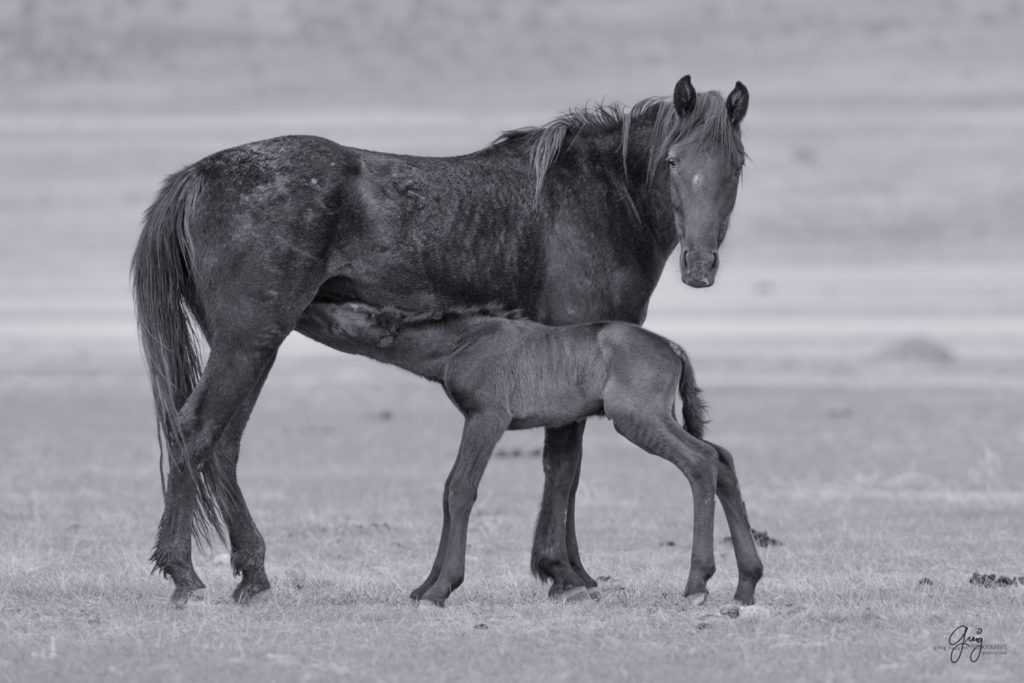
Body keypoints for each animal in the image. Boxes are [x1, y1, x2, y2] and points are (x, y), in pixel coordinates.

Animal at [296, 301, 761, 606]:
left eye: (350, 309)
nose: (309, 303)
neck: (461, 343)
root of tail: (673, 347)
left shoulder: (487, 417)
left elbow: (460, 489)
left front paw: (442, 588)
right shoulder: (480, 420)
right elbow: (448, 490)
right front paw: (424, 586)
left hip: (637, 418)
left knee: (701, 462)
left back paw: (698, 583)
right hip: (657, 418)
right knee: (722, 458)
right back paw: (747, 584)